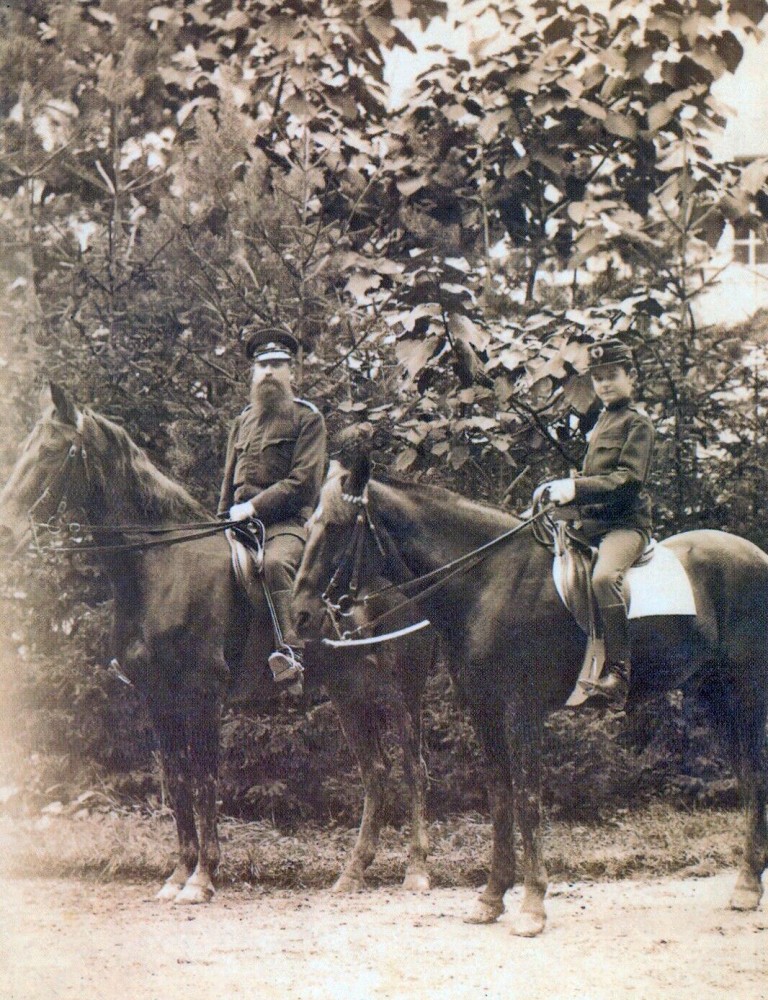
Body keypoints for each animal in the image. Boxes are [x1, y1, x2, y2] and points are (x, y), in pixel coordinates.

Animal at [0, 386, 436, 904]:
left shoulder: (203, 693)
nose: (5, 531)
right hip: (350, 695)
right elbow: (176, 779)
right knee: (376, 771)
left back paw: (417, 869)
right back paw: (353, 872)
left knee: (412, 767)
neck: (162, 566)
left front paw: (202, 878)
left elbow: (205, 777)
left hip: (403, 691)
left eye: (50, 451)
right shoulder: (158, 698)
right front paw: (177, 875)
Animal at [294, 458, 768, 932]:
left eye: (337, 526)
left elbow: (527, 798)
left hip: (746, 693)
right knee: (746, 775)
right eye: (311, 523)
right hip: (715, 696)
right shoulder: (484, 710)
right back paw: (749, 880)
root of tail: (756, 555)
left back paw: (747, 886)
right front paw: (491, 898)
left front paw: (532, 904)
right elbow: (501, 798)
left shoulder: (521, 708)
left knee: (754, 773)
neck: (487, 581)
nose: (300, 615)